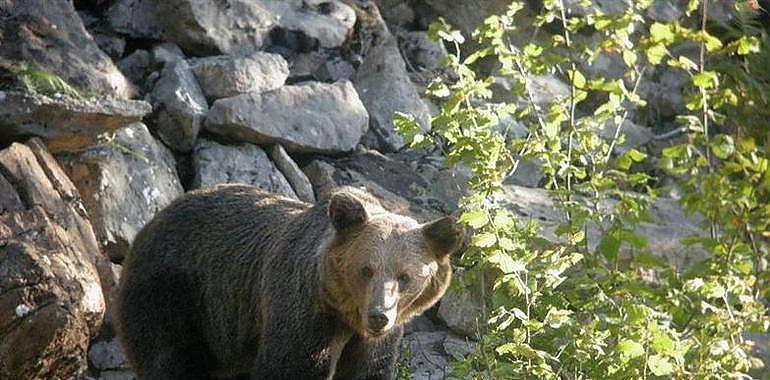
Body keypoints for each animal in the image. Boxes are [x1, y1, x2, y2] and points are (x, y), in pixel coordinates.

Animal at [114, 183, 462, 378]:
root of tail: (152, 222)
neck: (344, 315)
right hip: (175, 293)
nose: (379, 316)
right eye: (366, 269)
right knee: (169, 358)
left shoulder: (376, 342)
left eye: (405, 277)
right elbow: (290, 366)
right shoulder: (302, 310)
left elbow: (368, 369)